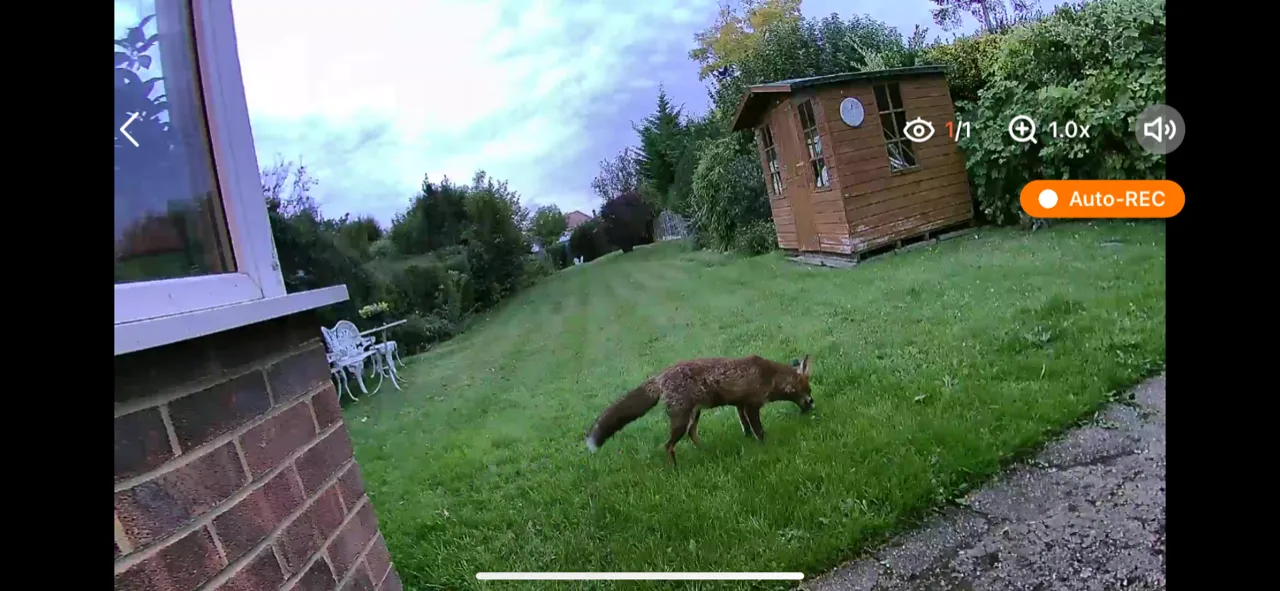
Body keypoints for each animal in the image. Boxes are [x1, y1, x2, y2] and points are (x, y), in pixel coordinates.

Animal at [584, 354, 815, 466]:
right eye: (809, 391)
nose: (813, 406)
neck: (769, 376)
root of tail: (660, 376)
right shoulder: (751, 406)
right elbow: (759, 431)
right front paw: (766, 446)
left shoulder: (740, 405)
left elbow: (746, 428)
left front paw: (748, 441)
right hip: (681, 419)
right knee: (668, 445)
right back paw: (675, 470)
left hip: (694, 415)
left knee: (691, 434)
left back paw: (705, 450)